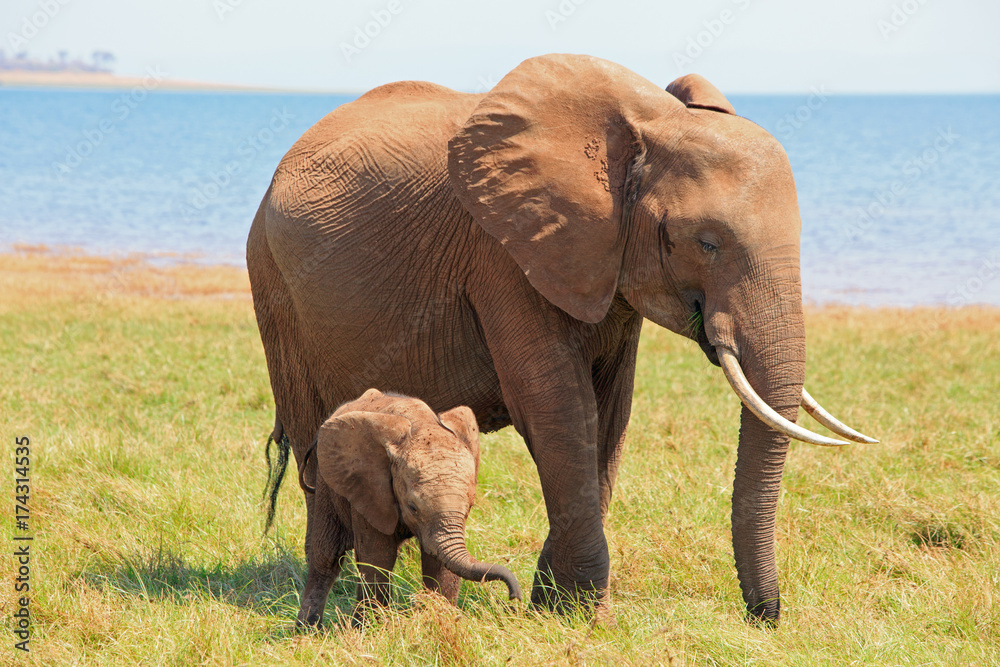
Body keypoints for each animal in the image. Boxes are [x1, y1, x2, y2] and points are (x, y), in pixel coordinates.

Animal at [294, 388, 521, 627]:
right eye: (413, 507)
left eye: (470, 506)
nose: (513, 598)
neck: (421, 425)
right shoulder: (369, 489)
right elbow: (378, 557)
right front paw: (370, 628)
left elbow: (438, 563)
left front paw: (440, 618)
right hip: (327, 481)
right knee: (327, 555)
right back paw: (307, 629)